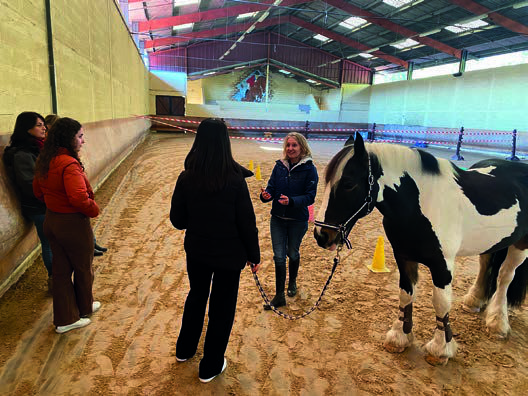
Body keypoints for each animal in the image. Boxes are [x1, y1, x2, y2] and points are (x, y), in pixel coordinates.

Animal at [314, 133, 528, 366]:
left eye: (348, 183)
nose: (321, 235)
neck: (422, 203)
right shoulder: (404, 257)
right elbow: (405, 295)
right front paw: (400, 337)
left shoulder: (443, 266)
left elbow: (441, 303)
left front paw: (441, 349)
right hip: (492, 243)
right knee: (486, 266)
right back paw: (474, 301)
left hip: (520, 245)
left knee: (505, 276)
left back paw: (497, 323)